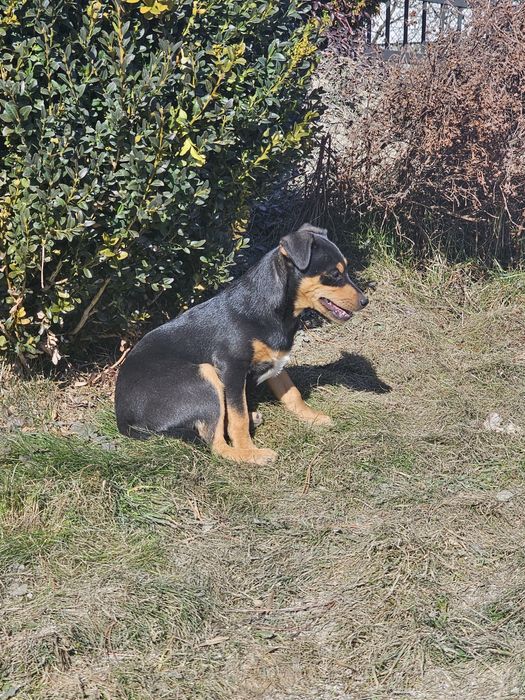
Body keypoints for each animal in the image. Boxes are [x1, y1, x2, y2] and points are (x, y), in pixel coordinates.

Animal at [115, 224, 368, 465]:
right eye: (334, 274)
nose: (365, 301)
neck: (274, 311)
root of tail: (123, 420)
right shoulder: (232, 368)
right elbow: (238, 416)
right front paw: (247, 447)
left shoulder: (276, 362)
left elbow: (293, 394)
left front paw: (313, 417)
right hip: (204, 374)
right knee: (216, 444)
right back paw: (254, 455)